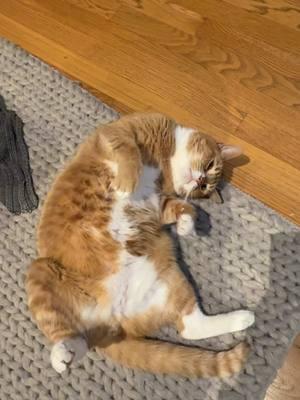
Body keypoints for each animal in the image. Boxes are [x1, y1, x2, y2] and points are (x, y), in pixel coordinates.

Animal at [27, 112, 254, 378]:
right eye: (208, 167)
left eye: (204, 187)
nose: (199, 180)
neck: (165, 162)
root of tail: (113, 320)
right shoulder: (120, 132)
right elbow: (130, 151)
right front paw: (128, 181)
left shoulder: (160, 201)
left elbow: (182, 207)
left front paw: (187, 225)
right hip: (39, 271)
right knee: (66, 332)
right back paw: (62, 354)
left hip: (171, 280)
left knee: (189, 327)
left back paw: (243, 318)